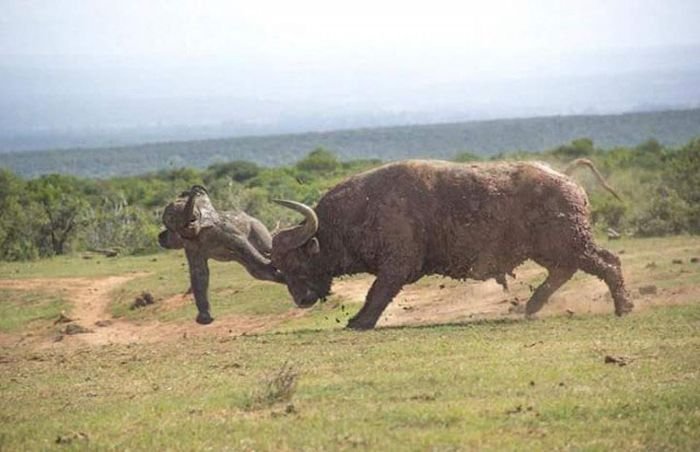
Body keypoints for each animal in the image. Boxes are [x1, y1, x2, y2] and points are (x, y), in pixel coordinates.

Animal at [160, 185, 284, 324]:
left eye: (195, 214)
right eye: (171, 219)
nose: (195, 189)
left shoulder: (223, 229)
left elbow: (241, 243)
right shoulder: (191, 246)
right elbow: (199, 271)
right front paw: (204, 320)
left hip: (257, 226)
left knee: (264, 250)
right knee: (256, 272)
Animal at [270, 159, 632, 328]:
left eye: (297, 263)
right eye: (280, 269)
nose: (301, 300)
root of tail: (565, 178)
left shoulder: (396, 267)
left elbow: (377, 294)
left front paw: (359, 322)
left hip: (571, 243)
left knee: (608, 263)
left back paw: (624, 307)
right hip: (552, 249)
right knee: (566, 271)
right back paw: (531, 306)